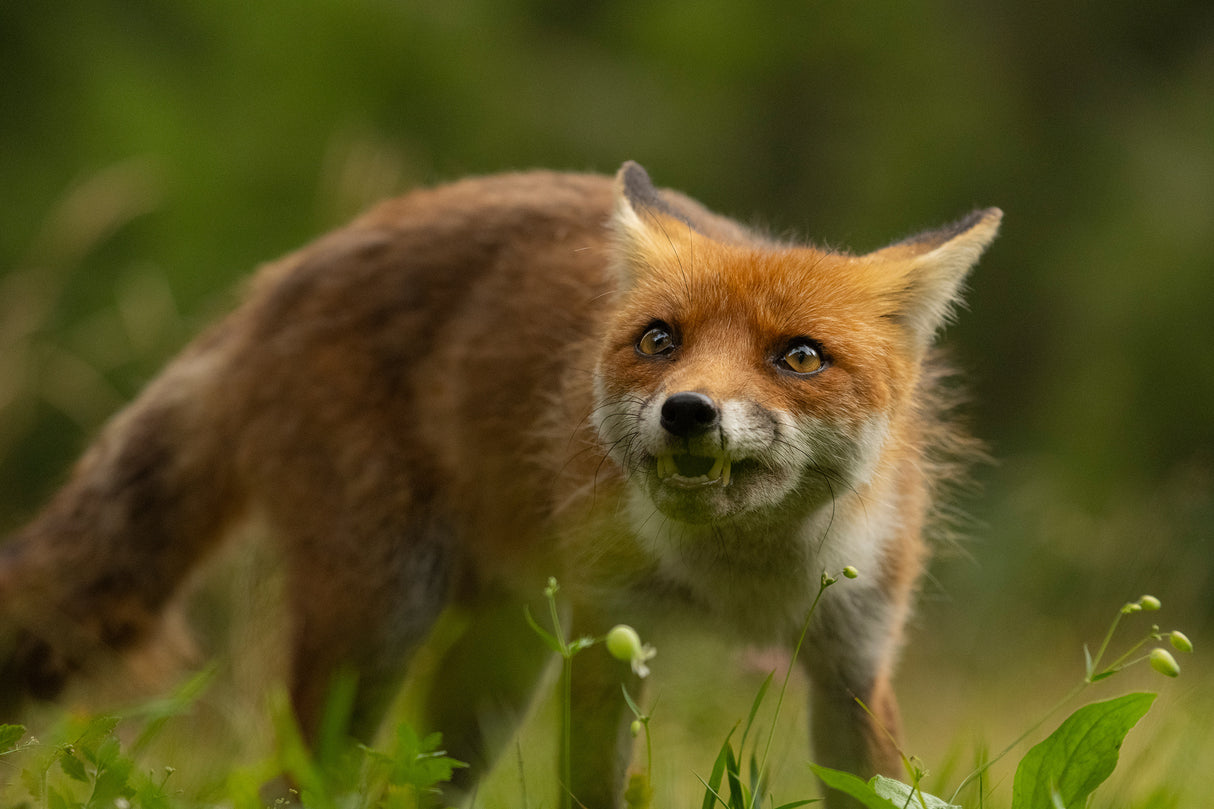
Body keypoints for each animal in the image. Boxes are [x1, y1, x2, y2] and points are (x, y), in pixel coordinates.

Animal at [0, 161, 1000, 807]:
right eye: (661, 339)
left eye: (800, 356)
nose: (688, 411)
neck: (739, 583)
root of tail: (281, 278)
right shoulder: (608, 636)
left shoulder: (855, 660)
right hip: (383, 617)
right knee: (302, 780)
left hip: (493, 668)